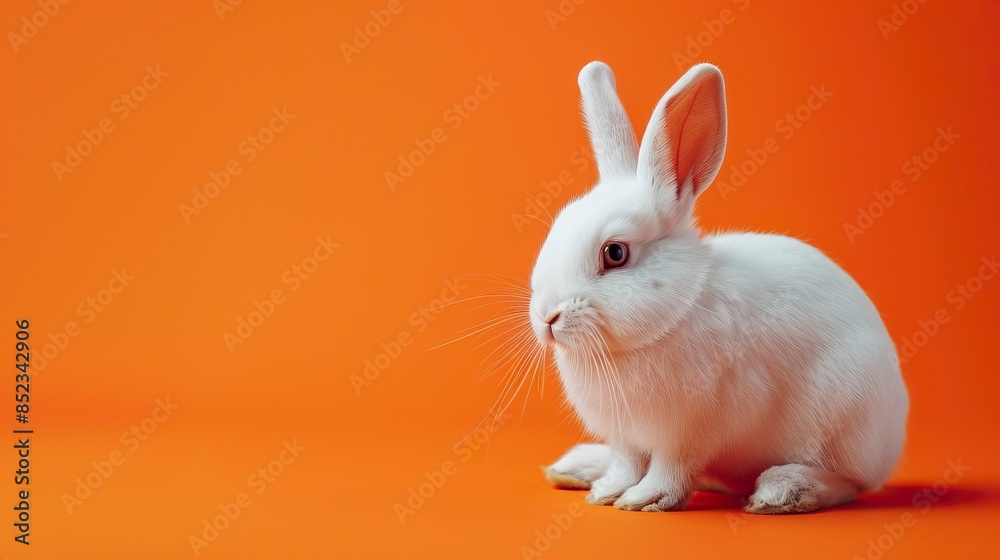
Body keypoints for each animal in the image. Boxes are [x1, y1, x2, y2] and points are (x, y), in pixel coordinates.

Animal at [531, 61, 908, 514]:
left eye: (615, 253)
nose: (547, 317)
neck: (673, 315)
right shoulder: (625, 436)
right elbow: (626, 463)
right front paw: (606, 492)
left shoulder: (688, 431)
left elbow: (670, 467)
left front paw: (644, 499)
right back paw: (578, 467)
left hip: (845, 419)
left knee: (849, 484)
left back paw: (781, 491)